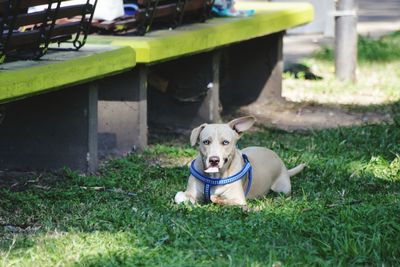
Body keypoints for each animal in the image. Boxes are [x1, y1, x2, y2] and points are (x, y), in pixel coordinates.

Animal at [173, 116, 304, 207]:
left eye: (225, 142)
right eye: (206, 142)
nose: (214, 160)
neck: (214, 177)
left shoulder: (239, 200)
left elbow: (219, 199)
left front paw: (216, 199)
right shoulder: (189, 193)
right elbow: (178, 196)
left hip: (283, 189)